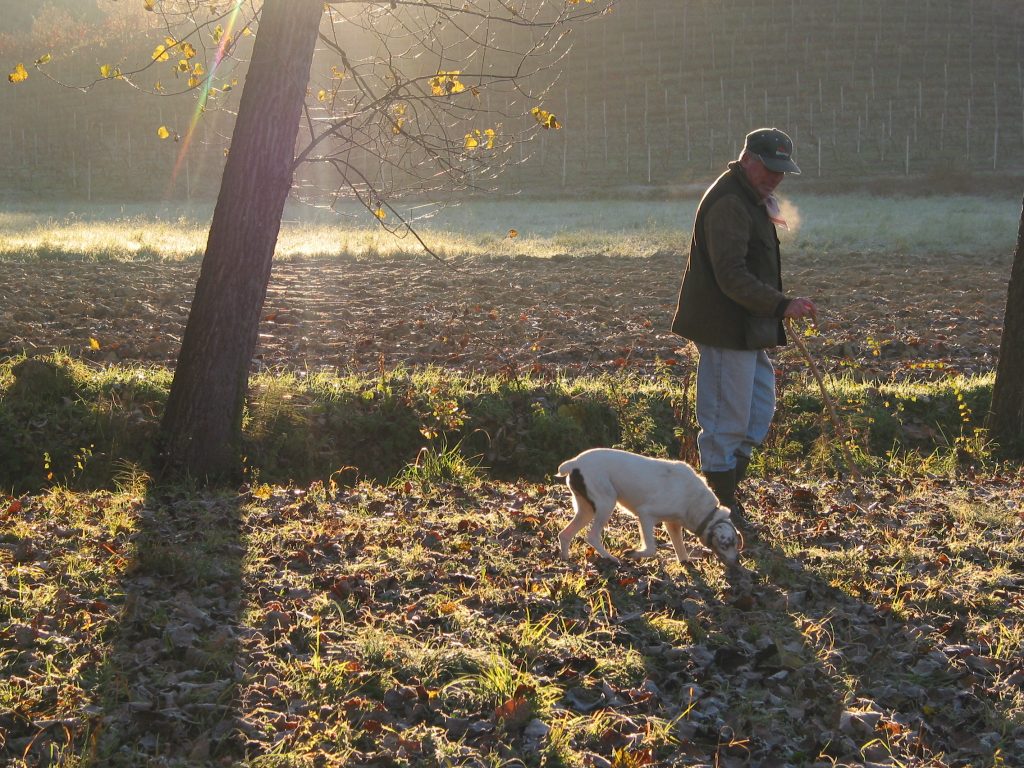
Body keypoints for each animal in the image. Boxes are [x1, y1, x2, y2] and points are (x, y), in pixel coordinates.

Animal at [557, 448, 741, 569]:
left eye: (735, 543)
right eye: (727, 544)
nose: (737, 561)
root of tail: (575, 463)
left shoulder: (673, 524)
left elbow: (680, 548)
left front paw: (686, 563)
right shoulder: (645, 515)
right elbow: (651, 549)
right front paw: (632, 553)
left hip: (586, 510)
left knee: (565, 534)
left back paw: (565, 559)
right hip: (606, 503)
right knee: (592, 536)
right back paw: (611, 558)